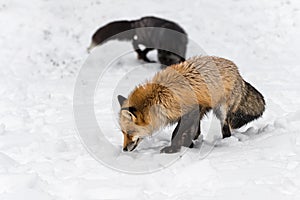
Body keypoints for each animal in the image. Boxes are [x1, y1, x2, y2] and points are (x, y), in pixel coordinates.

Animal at [117, 55, 264, 152]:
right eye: (123, 133)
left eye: (129, 133)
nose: (124, 149)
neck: (161, 97)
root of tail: (237, 71)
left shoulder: (191, 110)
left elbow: (176, 133)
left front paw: (173, 148)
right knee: (198, 131)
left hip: (221, 110)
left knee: (225, 129)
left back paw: (225, 142)